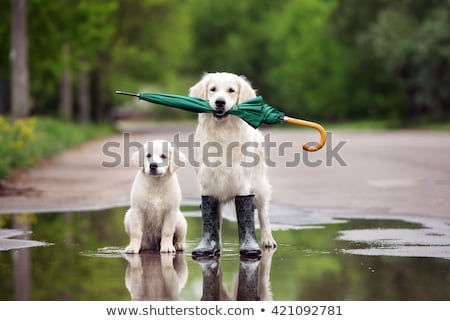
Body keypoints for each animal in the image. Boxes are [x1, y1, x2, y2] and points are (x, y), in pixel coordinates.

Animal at [189, 71, 276, 256]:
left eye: (231, 90)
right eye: (213, 89)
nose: (219, 102)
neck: (222, 133)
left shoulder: (242, 182)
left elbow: (247, 212)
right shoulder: (208, 183)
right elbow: (212, 218)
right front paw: (210, 246)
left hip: (259, 186)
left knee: (263, 213)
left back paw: (267, 240)